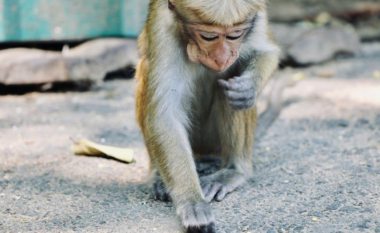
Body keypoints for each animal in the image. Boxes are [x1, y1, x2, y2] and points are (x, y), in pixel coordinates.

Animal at [135, 0, 280, 231]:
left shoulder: (257, 14)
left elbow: (267, 51)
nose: (222, 57)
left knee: (232, 76)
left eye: (234, 35)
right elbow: (165, 115)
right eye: (208, 36)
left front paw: (249, 88)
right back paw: (158, 175)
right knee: (146, 65)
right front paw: (192, 201)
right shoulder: (161, 28)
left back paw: (233, 171)